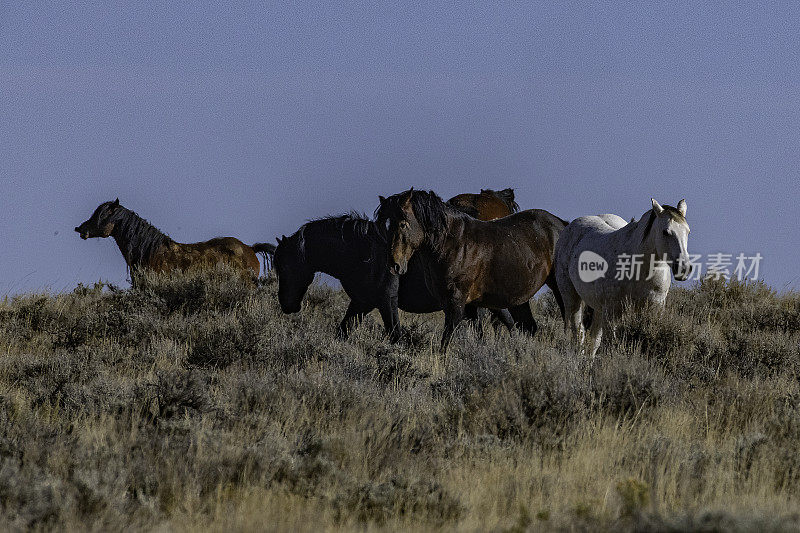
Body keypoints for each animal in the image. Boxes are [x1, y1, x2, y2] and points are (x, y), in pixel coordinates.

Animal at [376, 189, 568, 352]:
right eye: (386, 225)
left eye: (403, 224)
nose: (394, 265)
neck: (454, 245)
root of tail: (561, 224)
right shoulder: (456, 305)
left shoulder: (457, 303)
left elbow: (447, 341)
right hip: (519, 299)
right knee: (528, 327)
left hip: (558, 289)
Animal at [556, 197, 692, 356]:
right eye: (666, 232)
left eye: (688, 232)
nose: (684, 268)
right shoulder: (612, 312)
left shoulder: (654, 308)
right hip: (572, 298)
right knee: (578, 332)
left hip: (599, 309)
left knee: (594, 340)